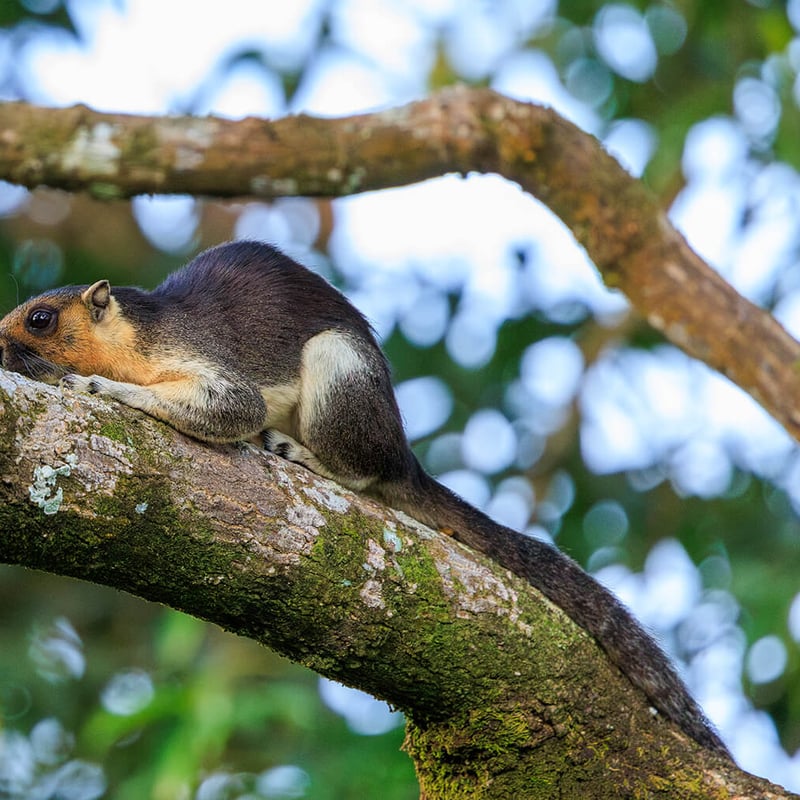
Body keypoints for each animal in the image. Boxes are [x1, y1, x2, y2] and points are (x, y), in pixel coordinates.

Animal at [0, 240, 728, 755]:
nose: (1, 348)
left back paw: (304, 455)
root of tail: (402, 452)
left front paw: (102, 387)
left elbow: (230, 407)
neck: (135, 335)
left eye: (41, 318)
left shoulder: (204, 359)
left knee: (359, 473)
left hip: (340, 375)